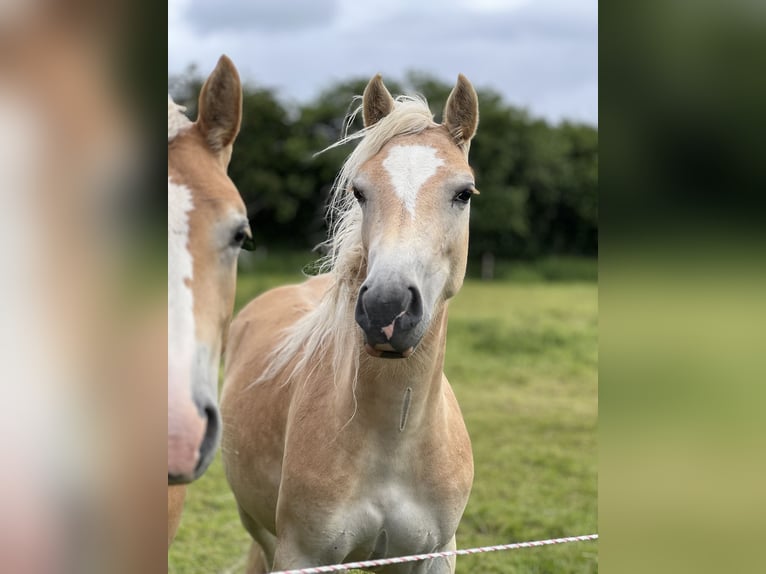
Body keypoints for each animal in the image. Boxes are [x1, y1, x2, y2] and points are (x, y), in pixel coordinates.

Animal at [221, 74, 479, 573]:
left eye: (464, 193)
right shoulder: (300, 555)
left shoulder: (436, 554)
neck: (394, 439)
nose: (386, 308)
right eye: (360, 191)